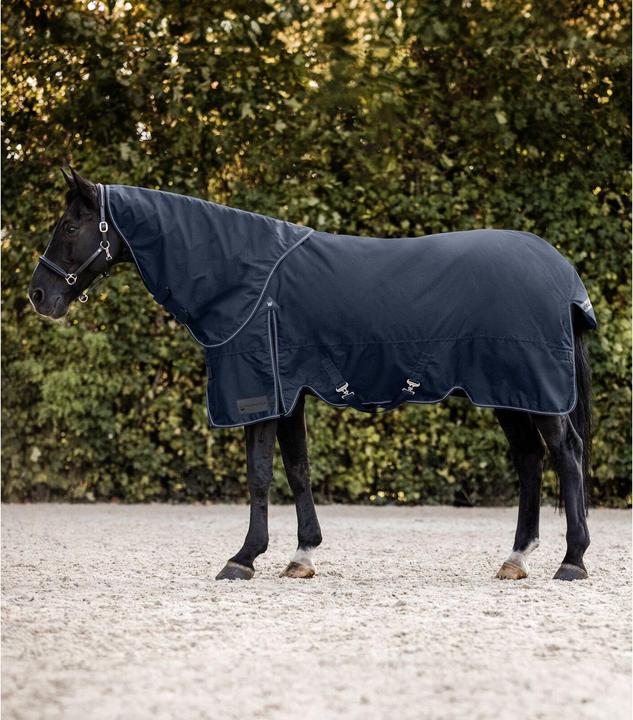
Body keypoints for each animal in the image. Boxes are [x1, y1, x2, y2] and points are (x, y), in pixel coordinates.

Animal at [28, 168, 596, 582]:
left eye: (70, 227)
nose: (39, 296)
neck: (243, 276)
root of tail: (563, 272)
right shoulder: (288, 393)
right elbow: (297, 468)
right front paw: (301, 556)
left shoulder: (259, 393)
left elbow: (259, 474)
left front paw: (243, 557)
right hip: (510, 393)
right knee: (530, 460)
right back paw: (516, 558)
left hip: (535, 389)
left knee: (566, 455)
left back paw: (572, 560)